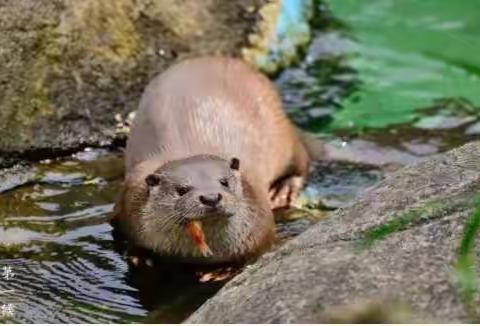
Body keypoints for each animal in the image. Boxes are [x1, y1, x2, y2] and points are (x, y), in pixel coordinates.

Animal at [112, 57, 312, 264]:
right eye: (181, 190)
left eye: (224, 182)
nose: (210, 197)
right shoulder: (127, 206)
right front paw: (140, 256)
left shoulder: (261, 226)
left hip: (282, 134)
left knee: (301, 159)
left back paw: (284, 190)